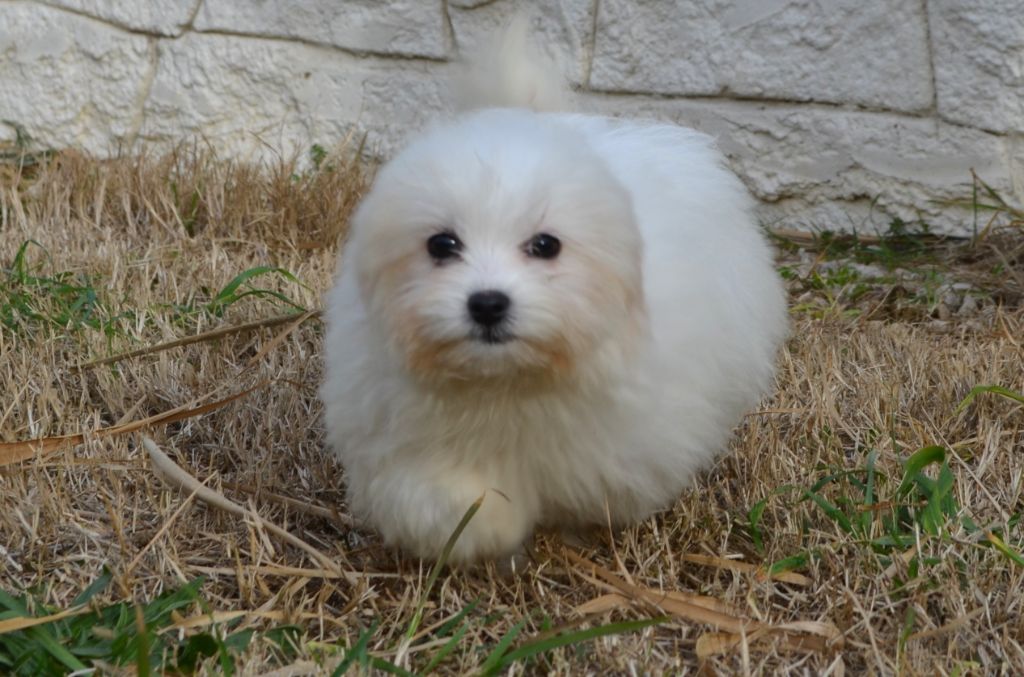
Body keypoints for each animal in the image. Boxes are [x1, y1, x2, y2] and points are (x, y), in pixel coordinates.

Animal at [323, 22, 786, 565]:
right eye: (442, 245)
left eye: (546, 246)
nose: (487, 303)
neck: (506, 381)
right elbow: (441, 498)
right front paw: (489, 528)